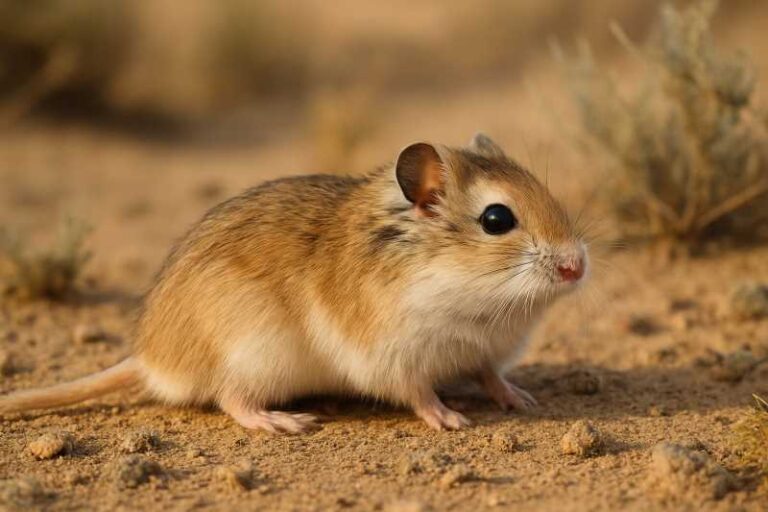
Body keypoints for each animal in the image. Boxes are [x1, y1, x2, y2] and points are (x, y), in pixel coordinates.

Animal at [0, 134, 587, 432]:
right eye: (496, 220)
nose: (577, 267)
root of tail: (148, 358)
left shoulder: (485, 349)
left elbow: (490, 375)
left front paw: (521, 398)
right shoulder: (394, 356)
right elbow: (417, 393)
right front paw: (450, 419)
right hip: (257, 351)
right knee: (229, 398)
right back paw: (281, 421)